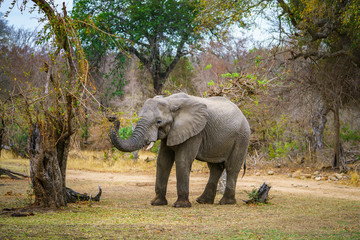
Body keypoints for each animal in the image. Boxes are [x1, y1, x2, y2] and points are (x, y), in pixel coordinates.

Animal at [109, 93, 250, 207]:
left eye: (159, 121)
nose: (112, 118)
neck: (170, 101)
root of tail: (242, 114)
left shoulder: (195, 132)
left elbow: (183, 160)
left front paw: (181, 205)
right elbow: (163, 161)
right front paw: (157, 203)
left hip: (242, 137)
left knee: (231, 167)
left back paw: (226, 202)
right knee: (215, 168)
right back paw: (203, 201)